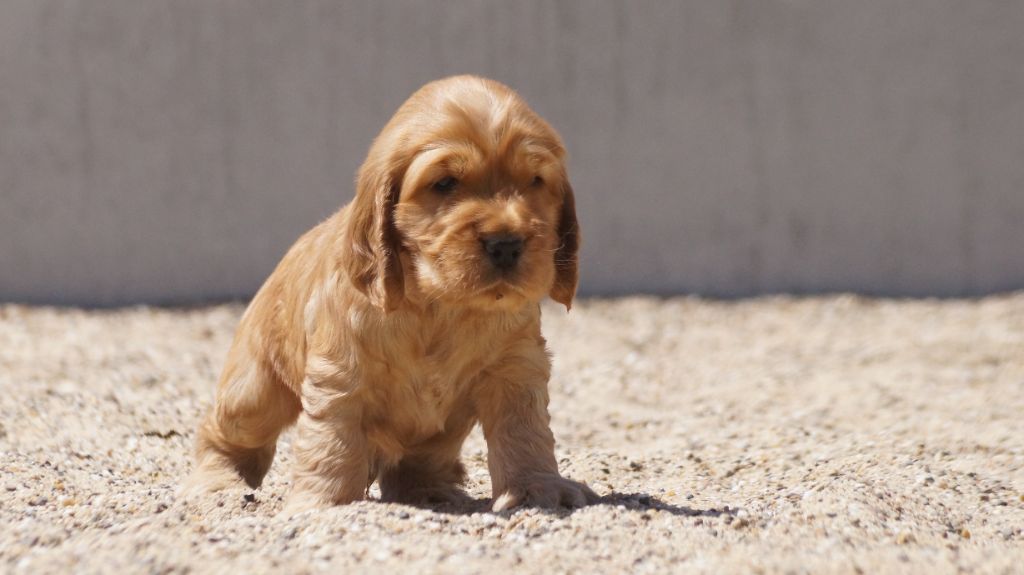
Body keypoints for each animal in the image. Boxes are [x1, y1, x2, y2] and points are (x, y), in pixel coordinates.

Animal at [185, 75, 598, 509]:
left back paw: (433, 492)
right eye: (445, 183)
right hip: (255, 386)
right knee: (227, 432)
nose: (505, 244)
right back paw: (218, 483)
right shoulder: (341, 375)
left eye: (535, 182)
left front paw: (538, 489)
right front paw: (324, 503)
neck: (440, 305)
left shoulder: (516, 368)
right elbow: (333, 443)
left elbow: (525, 432)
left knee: (416, 464)